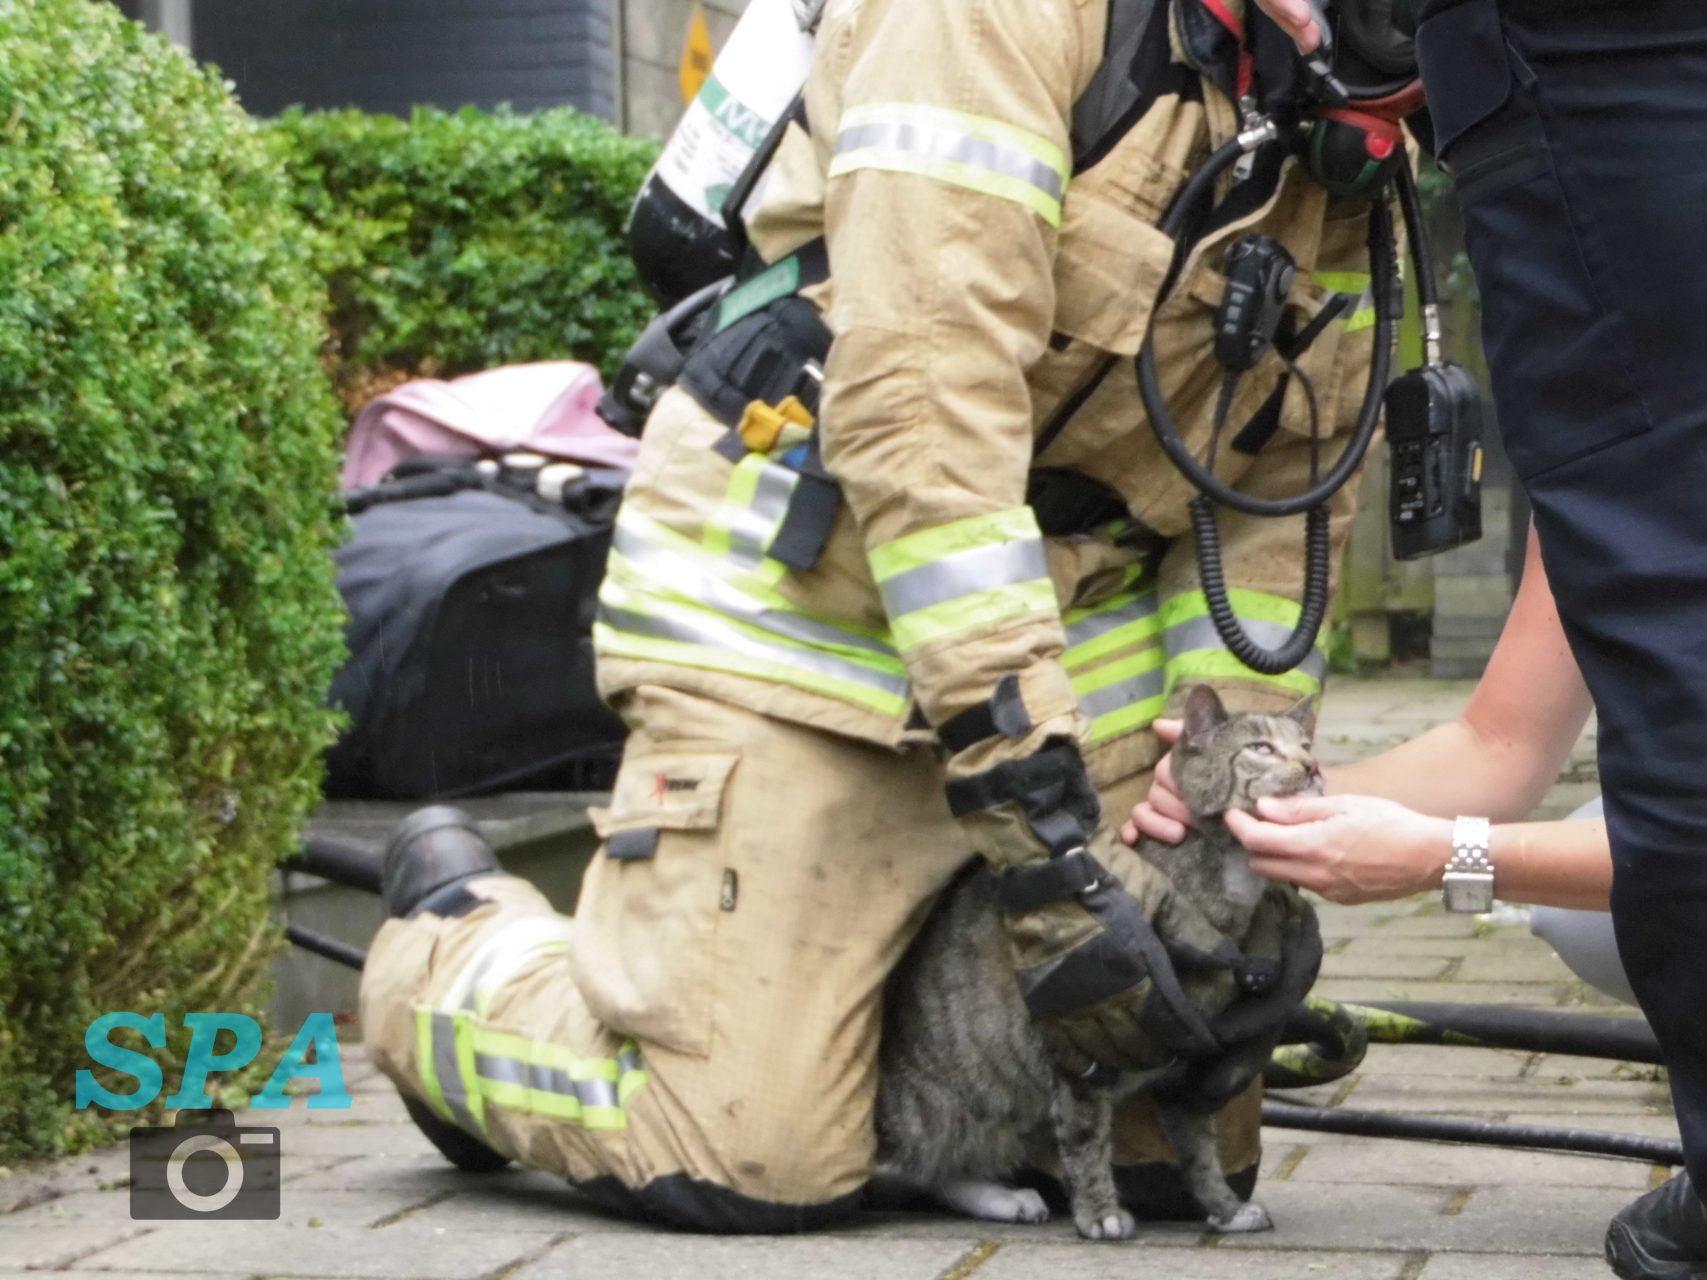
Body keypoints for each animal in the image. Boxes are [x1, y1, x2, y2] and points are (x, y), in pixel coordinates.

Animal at [873, 682, 1322, 1240]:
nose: (1312, 767)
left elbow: (1200, 1151)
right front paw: (1099, 1212)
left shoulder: (1190, 1074)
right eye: (1261, 748)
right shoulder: (1076, 1052)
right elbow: (1086, 1139)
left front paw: (1223, 1206)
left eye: (1305, 745)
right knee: (916, 1162)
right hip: (948, 1101)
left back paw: (1004, 1198)